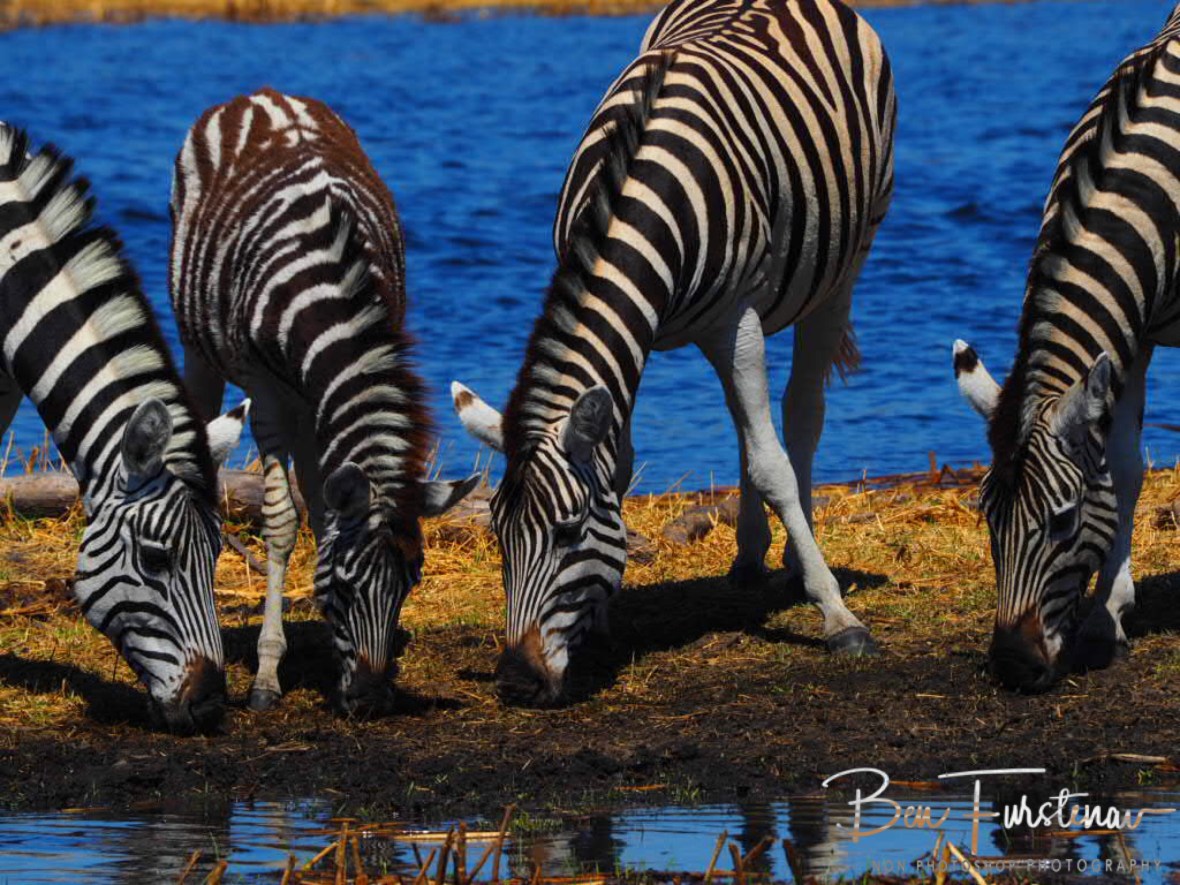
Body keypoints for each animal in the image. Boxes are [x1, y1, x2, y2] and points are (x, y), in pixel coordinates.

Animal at [170, 89, 478, 716]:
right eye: (345, 587)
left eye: (412, 582)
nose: (371, 701)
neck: (327, 293)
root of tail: (261, 94)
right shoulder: (266, 393)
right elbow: (282, 522)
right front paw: (267, 674)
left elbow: (321, 508)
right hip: (201, 346)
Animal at [453, 0, 896, 705]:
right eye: (498, 535)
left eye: (568, 532)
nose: (517, 683)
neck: (636, 197)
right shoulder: (641, 336)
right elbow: (625, 464)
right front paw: (604, 621)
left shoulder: (736, 321)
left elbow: (772, 463)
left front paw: (838, 616)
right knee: (749, 424)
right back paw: (748, 558)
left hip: (846, 264)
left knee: (799, 411)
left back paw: (796, 558)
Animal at [953, 4, 1180, 692]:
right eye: (987, 518)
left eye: (1062, 520)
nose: (1011, 666)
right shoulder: (1133, 334)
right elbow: (1126, 468)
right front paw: (1108, 617)